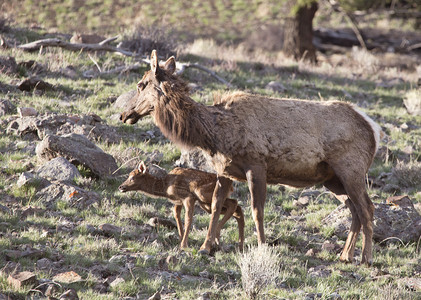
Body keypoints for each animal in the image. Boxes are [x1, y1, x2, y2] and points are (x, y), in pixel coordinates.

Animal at [119, 51, 380, 264]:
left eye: (141, 84)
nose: (123, 114)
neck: (215, 135)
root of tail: (373, 130)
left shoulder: (256, 165)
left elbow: (257, 210)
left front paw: (262, 245)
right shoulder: (224, 171)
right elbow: (216, 207)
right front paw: (206, 247)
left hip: (352, 169)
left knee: (367, 208)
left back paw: (365, 258)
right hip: (332, 180)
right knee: (354, 210)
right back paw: (345, 255)